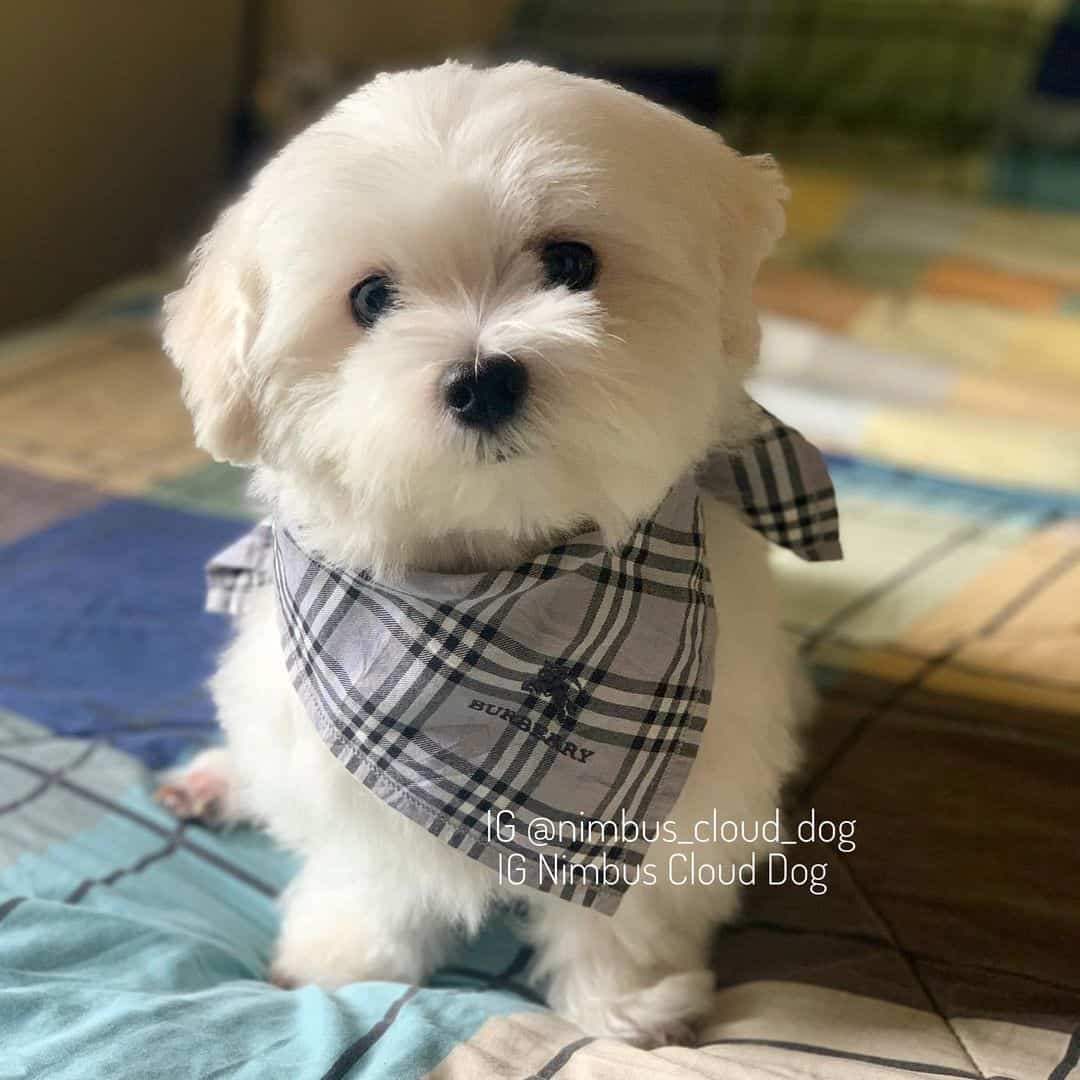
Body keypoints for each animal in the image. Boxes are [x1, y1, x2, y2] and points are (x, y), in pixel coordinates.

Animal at [156, 61, 807, 1045]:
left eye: (571, 263)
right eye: (371, 299)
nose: (483, 379)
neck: (498, 575)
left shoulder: (697, 774)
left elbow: (631, 903)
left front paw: (626, 1002)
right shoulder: (341, 748)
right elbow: (371, 867)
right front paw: (346, 957)